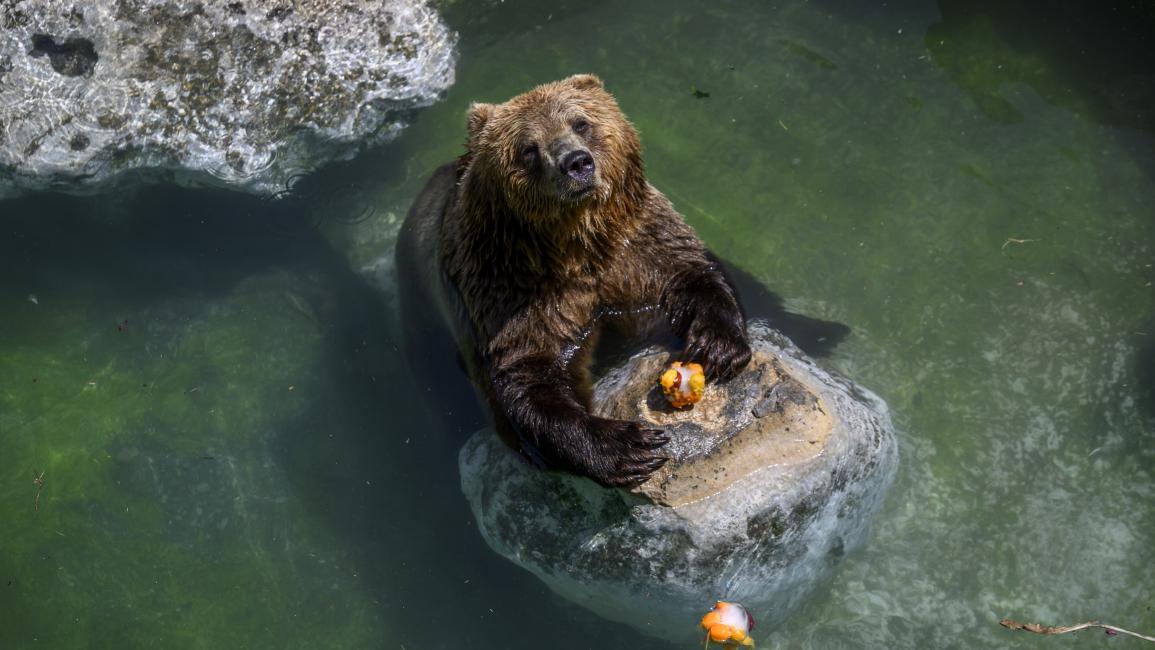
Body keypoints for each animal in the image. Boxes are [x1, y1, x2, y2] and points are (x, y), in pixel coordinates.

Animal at [397, 73, 753, 484]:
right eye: (528, 148)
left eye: (580, 123)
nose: (576, 162)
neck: (576, 245)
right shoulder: (508, 289)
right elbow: (528, 376)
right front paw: (628, 446)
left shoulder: (640, 249)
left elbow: (695, 273)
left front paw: (717, 346)